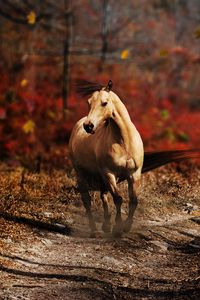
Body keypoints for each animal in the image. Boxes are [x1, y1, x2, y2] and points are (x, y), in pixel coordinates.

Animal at [69, 81, 144, 238]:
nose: (88, 126)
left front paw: (126, 227)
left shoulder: (134, 174)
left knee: (103, 195)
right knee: (87, 201)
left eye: (104, 103)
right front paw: (118, 229)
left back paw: (106, 225)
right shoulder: (109, 173)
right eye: (89, 102)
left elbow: (133, 201)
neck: (124, 142)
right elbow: (118, 199)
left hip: (101, 177)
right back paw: (94, 230)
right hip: (82, 174)